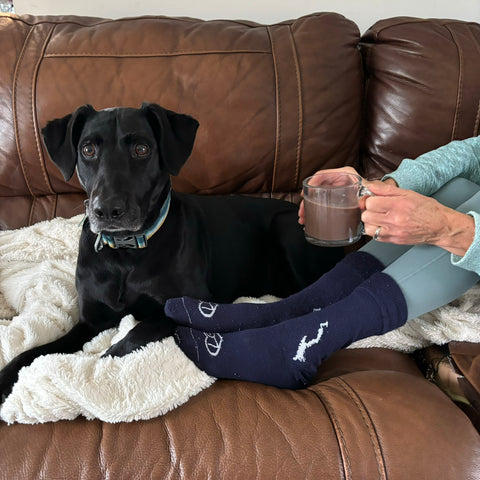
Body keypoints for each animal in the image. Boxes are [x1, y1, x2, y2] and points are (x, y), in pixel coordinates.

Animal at [0, 103, 342, 400]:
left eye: (141, 149)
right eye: (87, 150)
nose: (107, 210)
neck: (125, 255)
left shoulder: (189, 305)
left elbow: (137, 332)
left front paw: (102, 361)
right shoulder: (91, 320)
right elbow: (36, 351)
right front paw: (7, 376)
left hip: (289, 229)